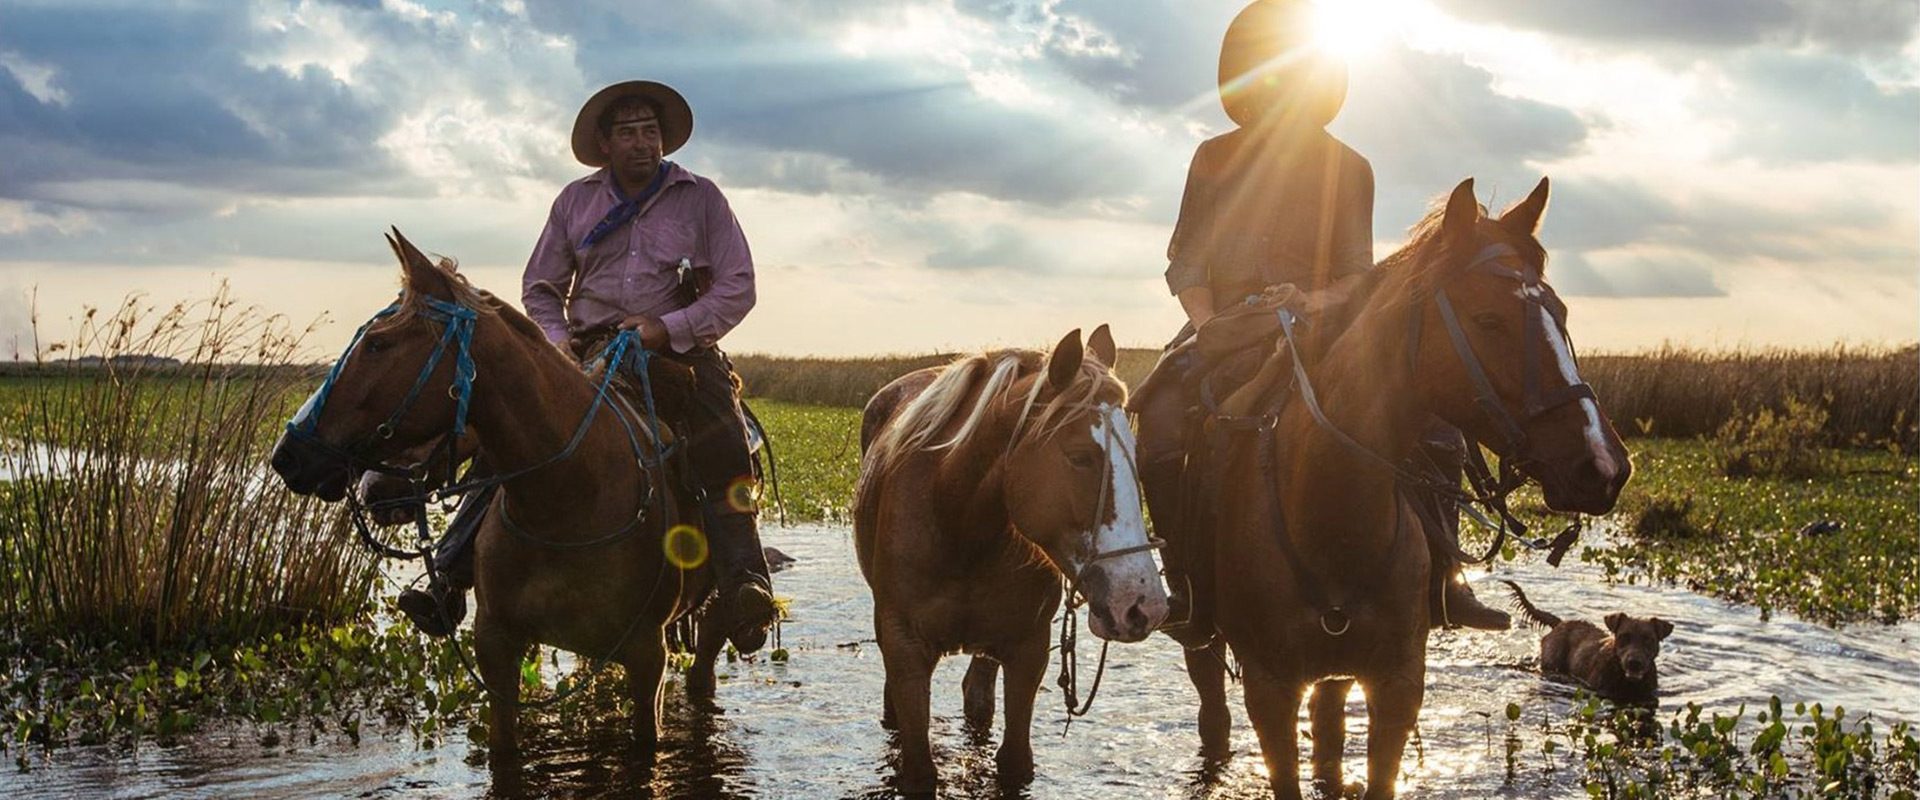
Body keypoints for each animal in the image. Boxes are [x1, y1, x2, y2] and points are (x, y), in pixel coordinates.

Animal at [856, 324, 1167, 790]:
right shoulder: (905, 646)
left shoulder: (1028, 649)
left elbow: (1016, 762)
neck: (958, 521)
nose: (1142, 603)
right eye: (1080, 456)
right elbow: (919, 769)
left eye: (1137, 453)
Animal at [1182, 177, 1635, 794]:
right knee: (1213, 709)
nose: (1605, 466)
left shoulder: (1398, 683)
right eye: (1488, 319)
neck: (1330, 518)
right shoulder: (1269, 688)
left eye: (1561, 311)